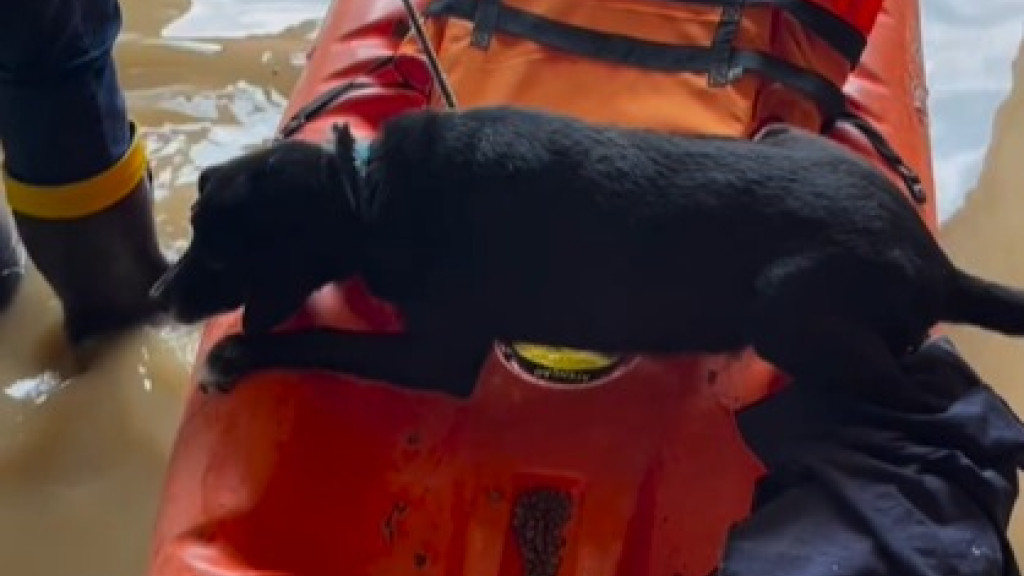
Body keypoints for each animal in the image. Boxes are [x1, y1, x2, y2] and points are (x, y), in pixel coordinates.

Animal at [151, 105, 1024, 401]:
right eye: (190, 219)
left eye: (219, 255)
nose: (158, 298)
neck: (364, 192)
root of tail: (937, 265)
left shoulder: (439, 356)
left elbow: (322, 342)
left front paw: (238, 354)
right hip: (783, 139)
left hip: (784, 306)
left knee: (918, 379)